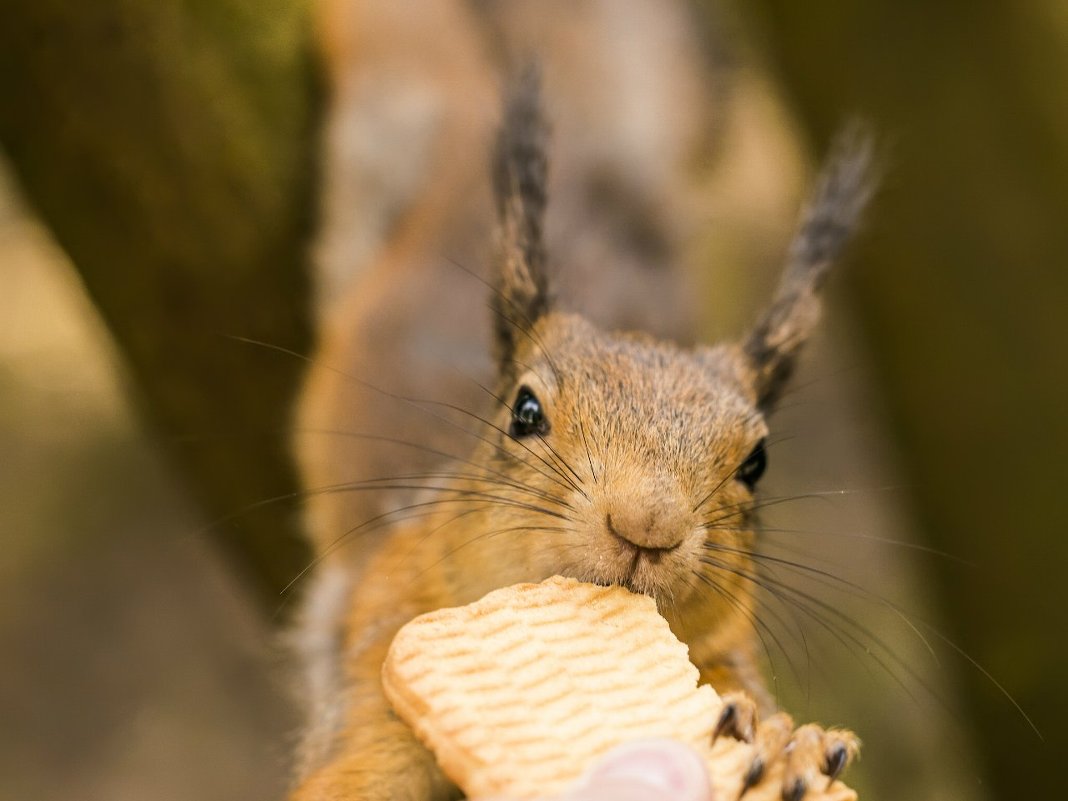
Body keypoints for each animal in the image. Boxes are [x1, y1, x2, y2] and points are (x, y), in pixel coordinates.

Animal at [288, 3, 871, 798]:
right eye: (525, 411)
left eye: (756, 463)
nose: (647, 527)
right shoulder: (377, 639)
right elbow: (352, 773)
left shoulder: (728, 643)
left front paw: (790, 744)